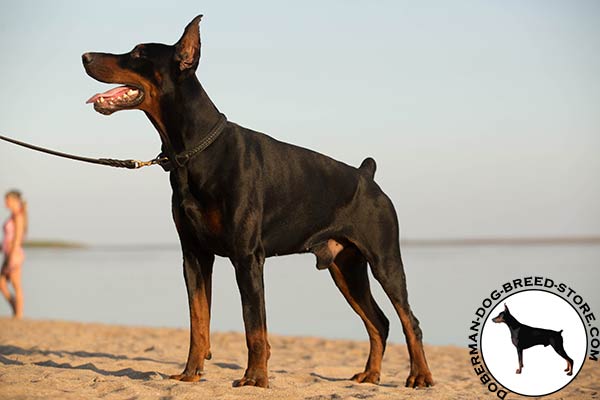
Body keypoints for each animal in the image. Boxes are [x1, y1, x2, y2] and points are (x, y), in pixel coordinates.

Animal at [82, 14, 434, 388]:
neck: (193, 152)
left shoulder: (247, 256)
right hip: (345, 267)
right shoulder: (193, 255)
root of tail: (367, 176)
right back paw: (370, 374)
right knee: (379, 321)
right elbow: (198, 322)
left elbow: (254, 325)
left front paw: (254, 377)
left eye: (138, 53)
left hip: (384, 260)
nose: (85, 56)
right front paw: (191, 374)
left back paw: (420, 375)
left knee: (409, 319)